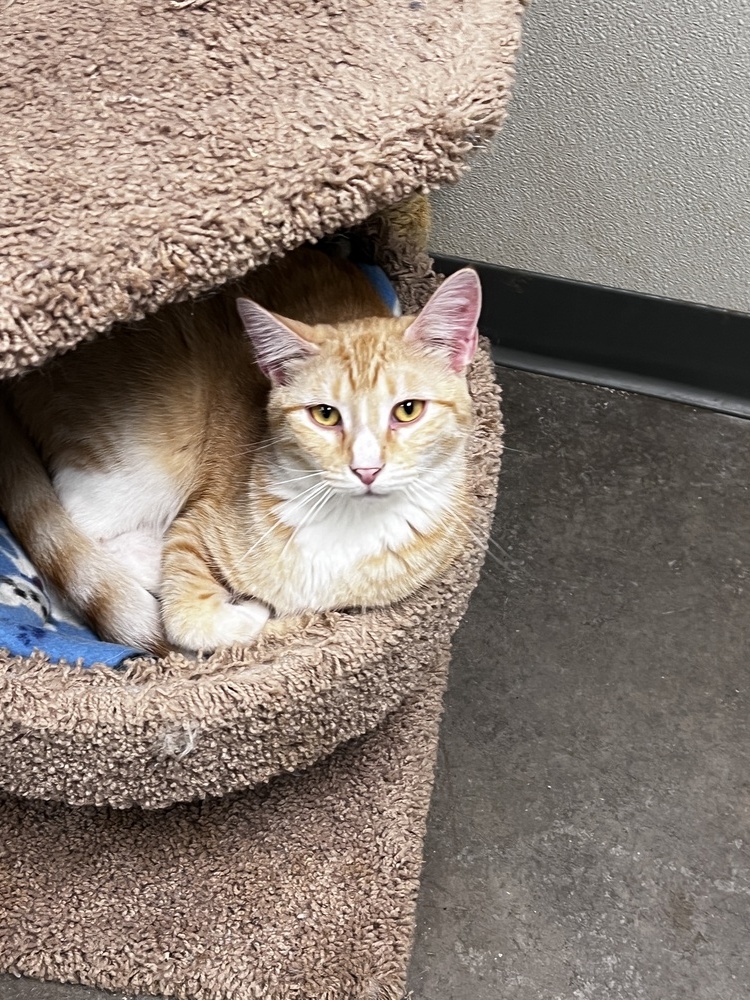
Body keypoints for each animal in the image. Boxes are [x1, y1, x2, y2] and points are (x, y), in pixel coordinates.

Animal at [0, 249, 482, 656]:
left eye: (408, 410)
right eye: (325, 415)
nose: (367, 469)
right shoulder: (198, 523)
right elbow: (190, 619)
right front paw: (248, 612)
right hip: (135, 467)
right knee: (78, 533)